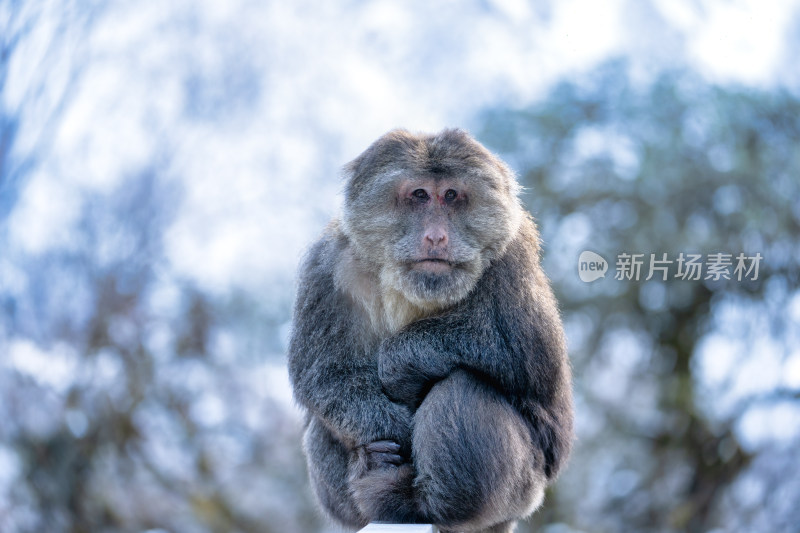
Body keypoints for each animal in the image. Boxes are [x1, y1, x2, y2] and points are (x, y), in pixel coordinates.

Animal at [290, 129, 572, 532]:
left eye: (451, 195)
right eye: (420, 195)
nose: (436, 237)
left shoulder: (511, 259)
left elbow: (531, 360)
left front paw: (400, 362)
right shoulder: (326, 266)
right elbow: (325, 374)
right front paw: (387, 432)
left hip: (522, 489)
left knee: (462, 385)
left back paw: (422, 503)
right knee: (322, 424)